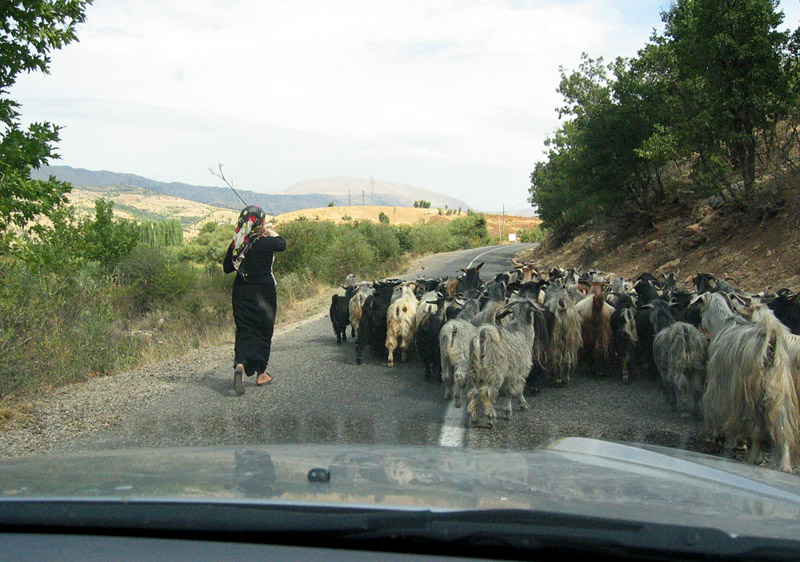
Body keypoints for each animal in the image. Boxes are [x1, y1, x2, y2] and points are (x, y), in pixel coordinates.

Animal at [692, 290, 800, 470]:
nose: (700, 328)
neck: (723, 325)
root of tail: (770, 344)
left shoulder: (720, 382)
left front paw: (721, 436)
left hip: (754, 392)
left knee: (758, 429)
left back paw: (755, 458)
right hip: (780, 392)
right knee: (784, 428)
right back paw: (784, 466)